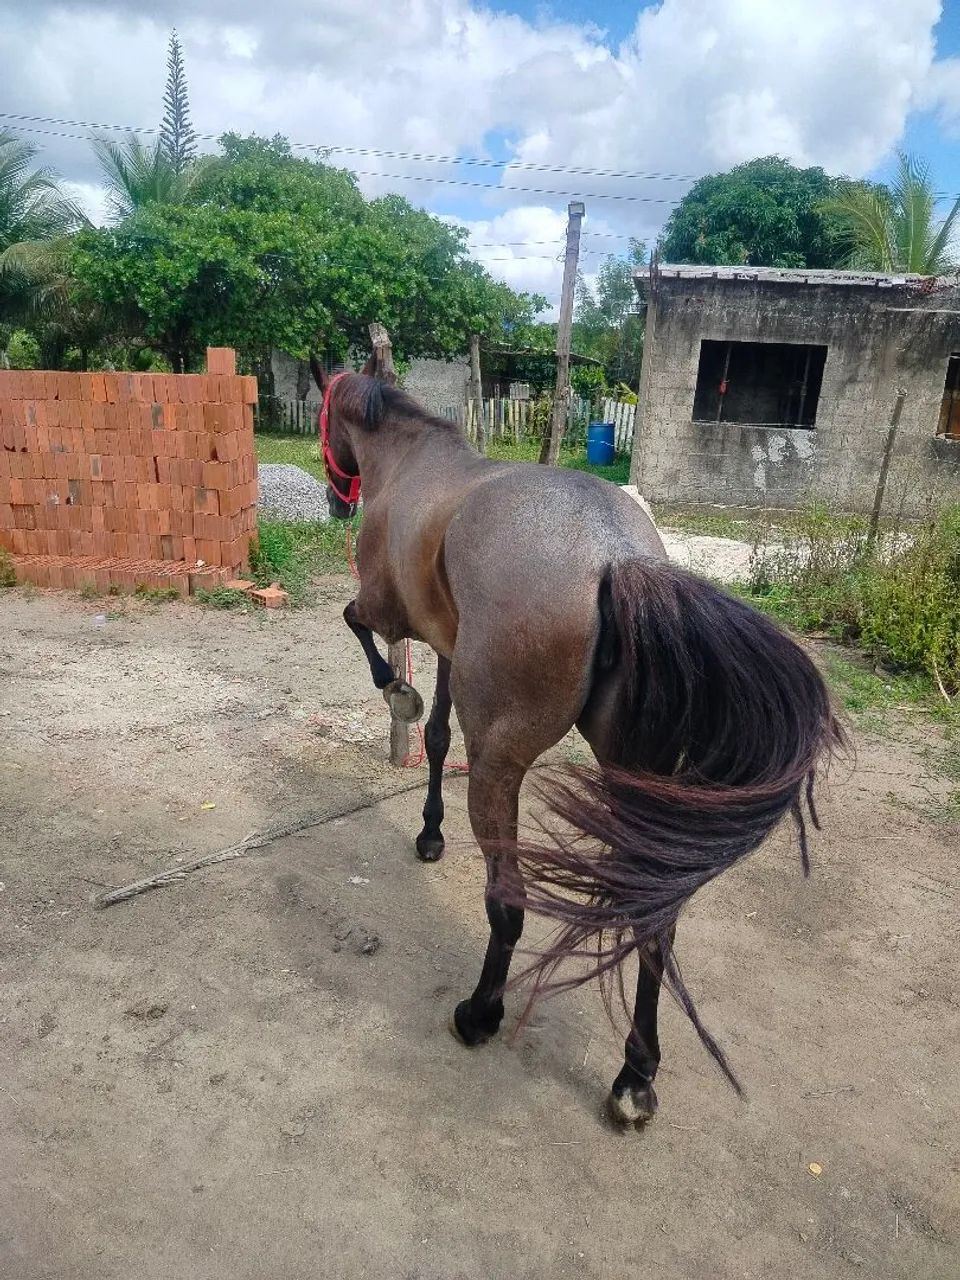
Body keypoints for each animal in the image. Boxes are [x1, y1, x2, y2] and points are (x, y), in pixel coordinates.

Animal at [311, 350, 844, 1127]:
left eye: (326, 421)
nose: (334, 500)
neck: (410, 463)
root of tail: (614, 555)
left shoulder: (388, 613)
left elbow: (362, 634)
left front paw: (397, 697)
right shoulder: (445, 645)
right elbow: (436, 737)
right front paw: (429, 832)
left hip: (500, 769)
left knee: (508, 904)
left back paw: (480, 1013)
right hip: (631, 783)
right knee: (653, 924)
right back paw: (634, 1076)